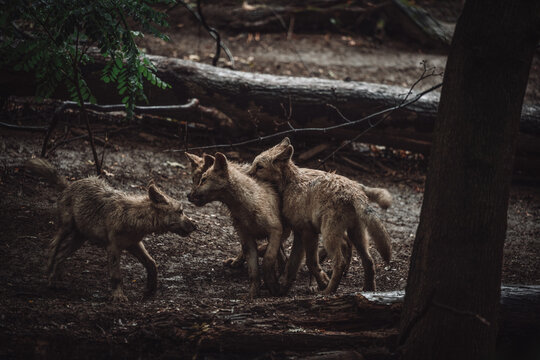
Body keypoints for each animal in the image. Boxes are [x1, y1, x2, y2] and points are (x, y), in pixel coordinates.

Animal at [25, 159, 197, 302]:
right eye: (181, 211)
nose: (196, 225)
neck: (135, 218)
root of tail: (70, 184)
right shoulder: (113, 248)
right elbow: (116, 275)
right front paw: (118, 296)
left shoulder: (134, 244)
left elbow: (152, 263)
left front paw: (150, 290)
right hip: (66, 228)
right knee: (53, 246)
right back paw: (49, 274)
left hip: (79, 239)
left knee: (61, 254)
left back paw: (57, 279)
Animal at [189, 153, 292, 296]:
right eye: (194, 179)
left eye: (203, 180)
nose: (188, 196)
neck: (244, 206)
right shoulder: (247, 238)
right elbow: (253, 272)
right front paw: (252, 295)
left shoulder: (276, 230)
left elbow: (268, 259)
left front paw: (273, 286)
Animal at [249, 137, 392, 292]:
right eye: (254, 164)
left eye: (259, 167)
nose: (246, 175)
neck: (289, 185)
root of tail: (354, 191)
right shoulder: (299, 234)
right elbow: (291, 265)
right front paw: (284, 287)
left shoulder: (308, 233)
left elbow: (310, 263)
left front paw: (322, 283)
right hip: (355, 235)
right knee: (368, 260)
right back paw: (368, 289)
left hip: (329, 236)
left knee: (340, 262)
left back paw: (329, 292)